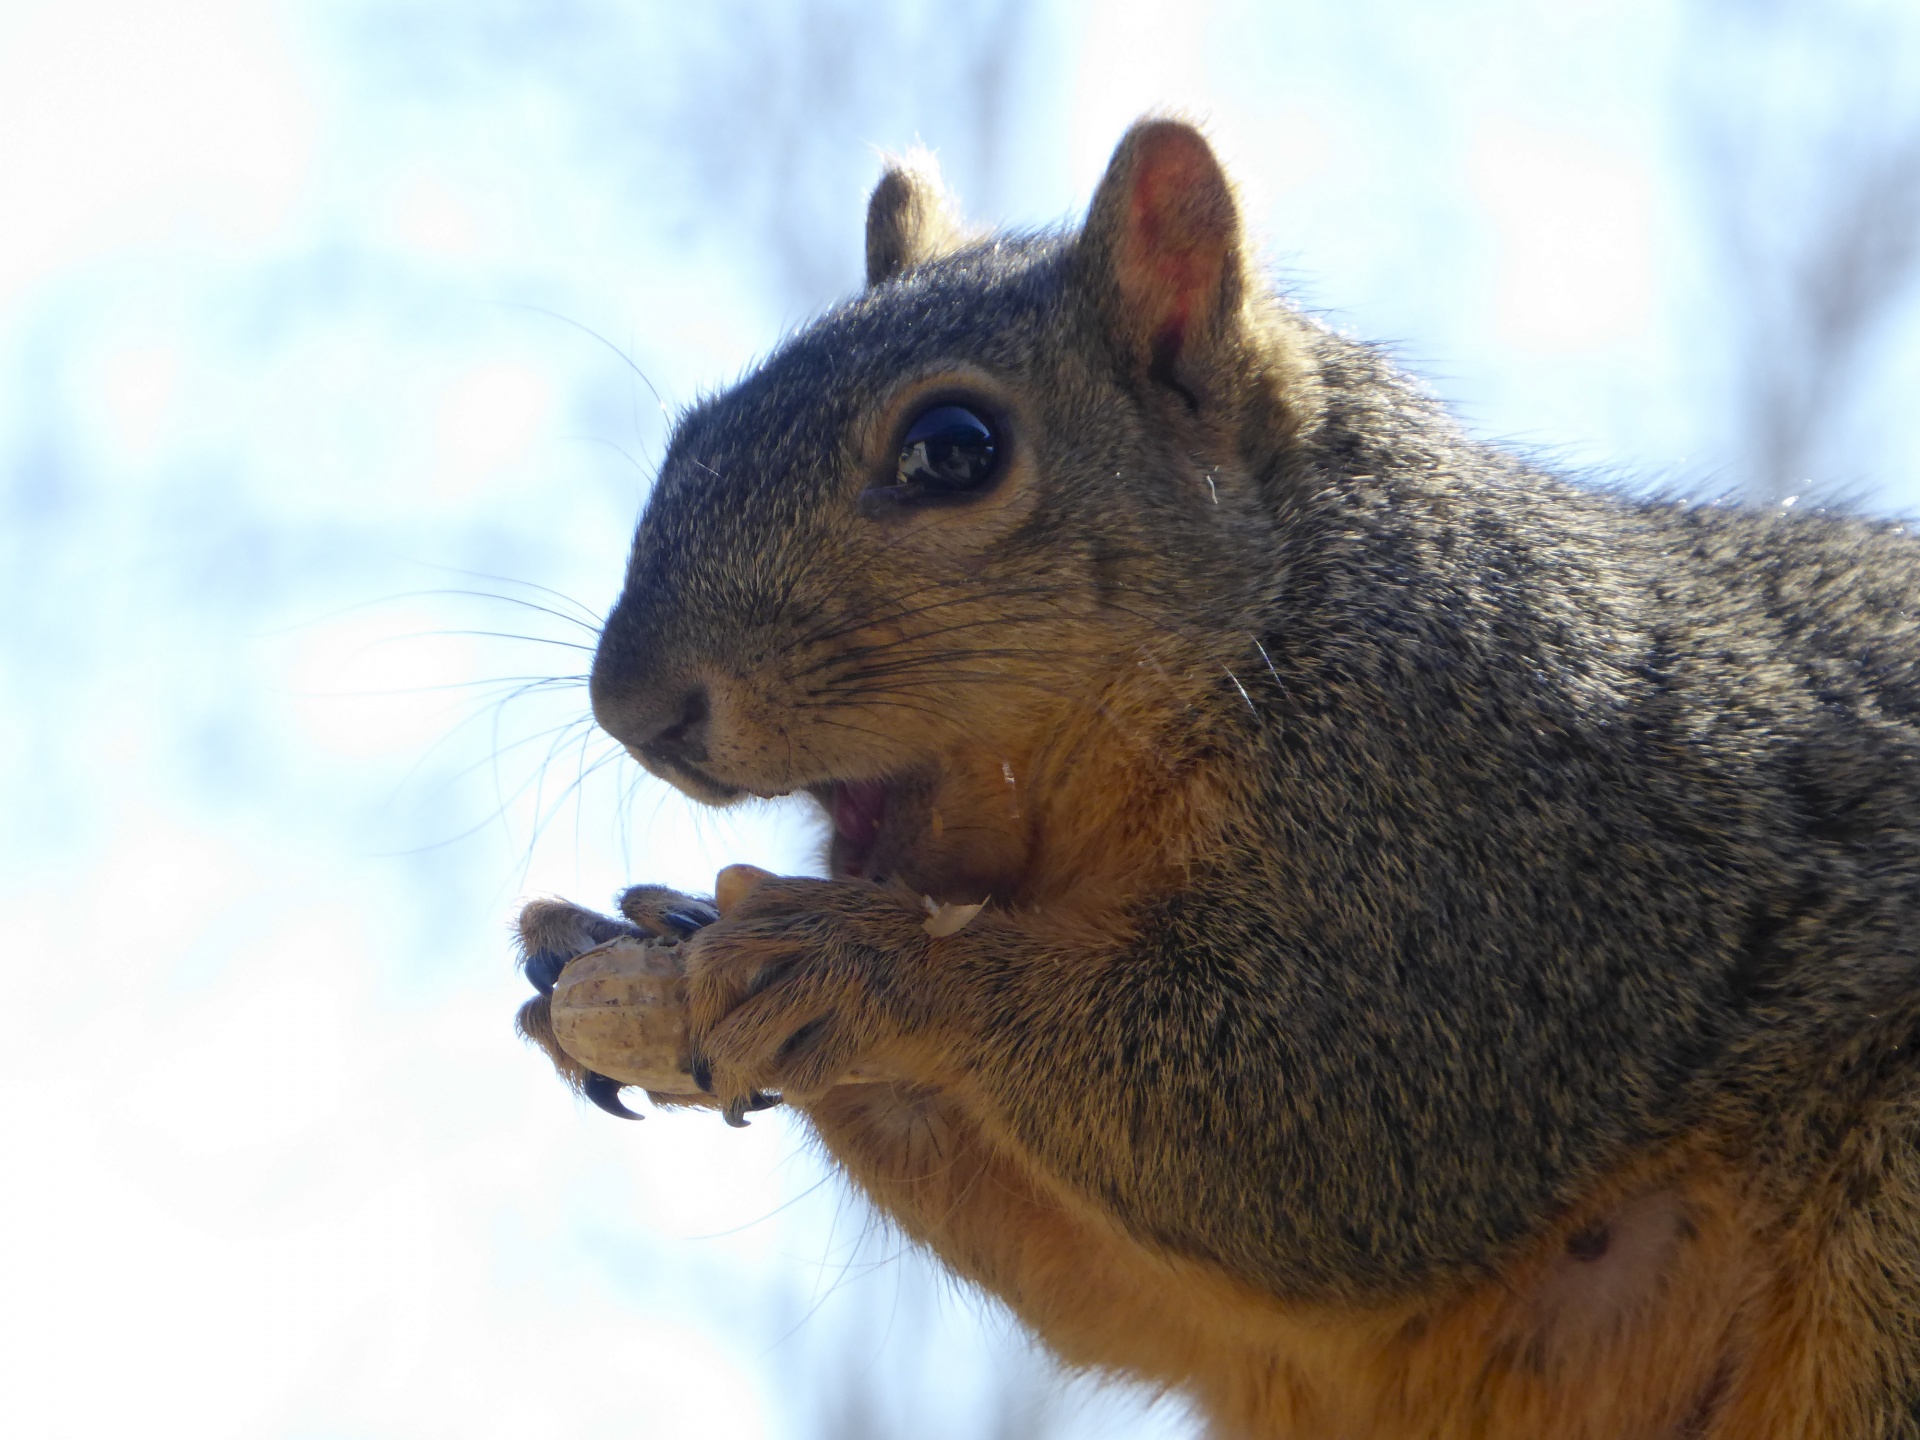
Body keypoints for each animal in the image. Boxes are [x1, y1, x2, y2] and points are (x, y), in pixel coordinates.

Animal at [510, 118, 1920, 1436]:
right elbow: (1094, 1274)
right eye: (694, 428)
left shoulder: (1493, 851)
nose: (632, 706)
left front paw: (857, 961)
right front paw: (622, 938)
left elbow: (1312, 1130)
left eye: (954, 447)